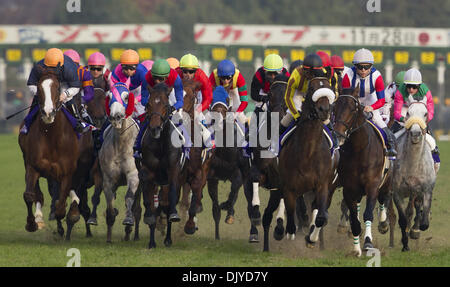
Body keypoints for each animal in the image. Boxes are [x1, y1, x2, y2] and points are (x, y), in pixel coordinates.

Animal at [18, 70, 81, 241]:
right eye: (39, 87)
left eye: (58, 87)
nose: (48, 112)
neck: (52, 136)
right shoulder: (33, 166)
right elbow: (29, 195)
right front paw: (31, 224)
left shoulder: (66, 172)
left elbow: (60, 206)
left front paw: (62, 227)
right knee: (39, 194)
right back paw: (39, 218)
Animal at [274, 78, 338, 252]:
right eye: (311, 88)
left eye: (329, 88)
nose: (324, 110)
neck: (308, 153)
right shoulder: (289, 186)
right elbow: (290, 210)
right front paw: (288, 231)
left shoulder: (322, 185)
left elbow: (321, 217)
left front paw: (311, 238)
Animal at [332, 86, 392, 258]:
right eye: (334, 108)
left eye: (353, 109)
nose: (338, 134)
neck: (359, 150)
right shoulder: (349, 189)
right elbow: (354, 220)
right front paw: (356, 249)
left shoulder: (372, 185)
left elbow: (368, 214)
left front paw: (368, 243)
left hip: (386, 182)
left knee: (383, 199)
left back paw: (383, 223)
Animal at [390, 102, 436, 252]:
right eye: (408, 113)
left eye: (425, 113)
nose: (415, 133)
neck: (413, 165)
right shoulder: (397, 192)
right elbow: (403, 219)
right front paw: (405, 244)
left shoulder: (426, 189)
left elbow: (423, 218)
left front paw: (416, 230)